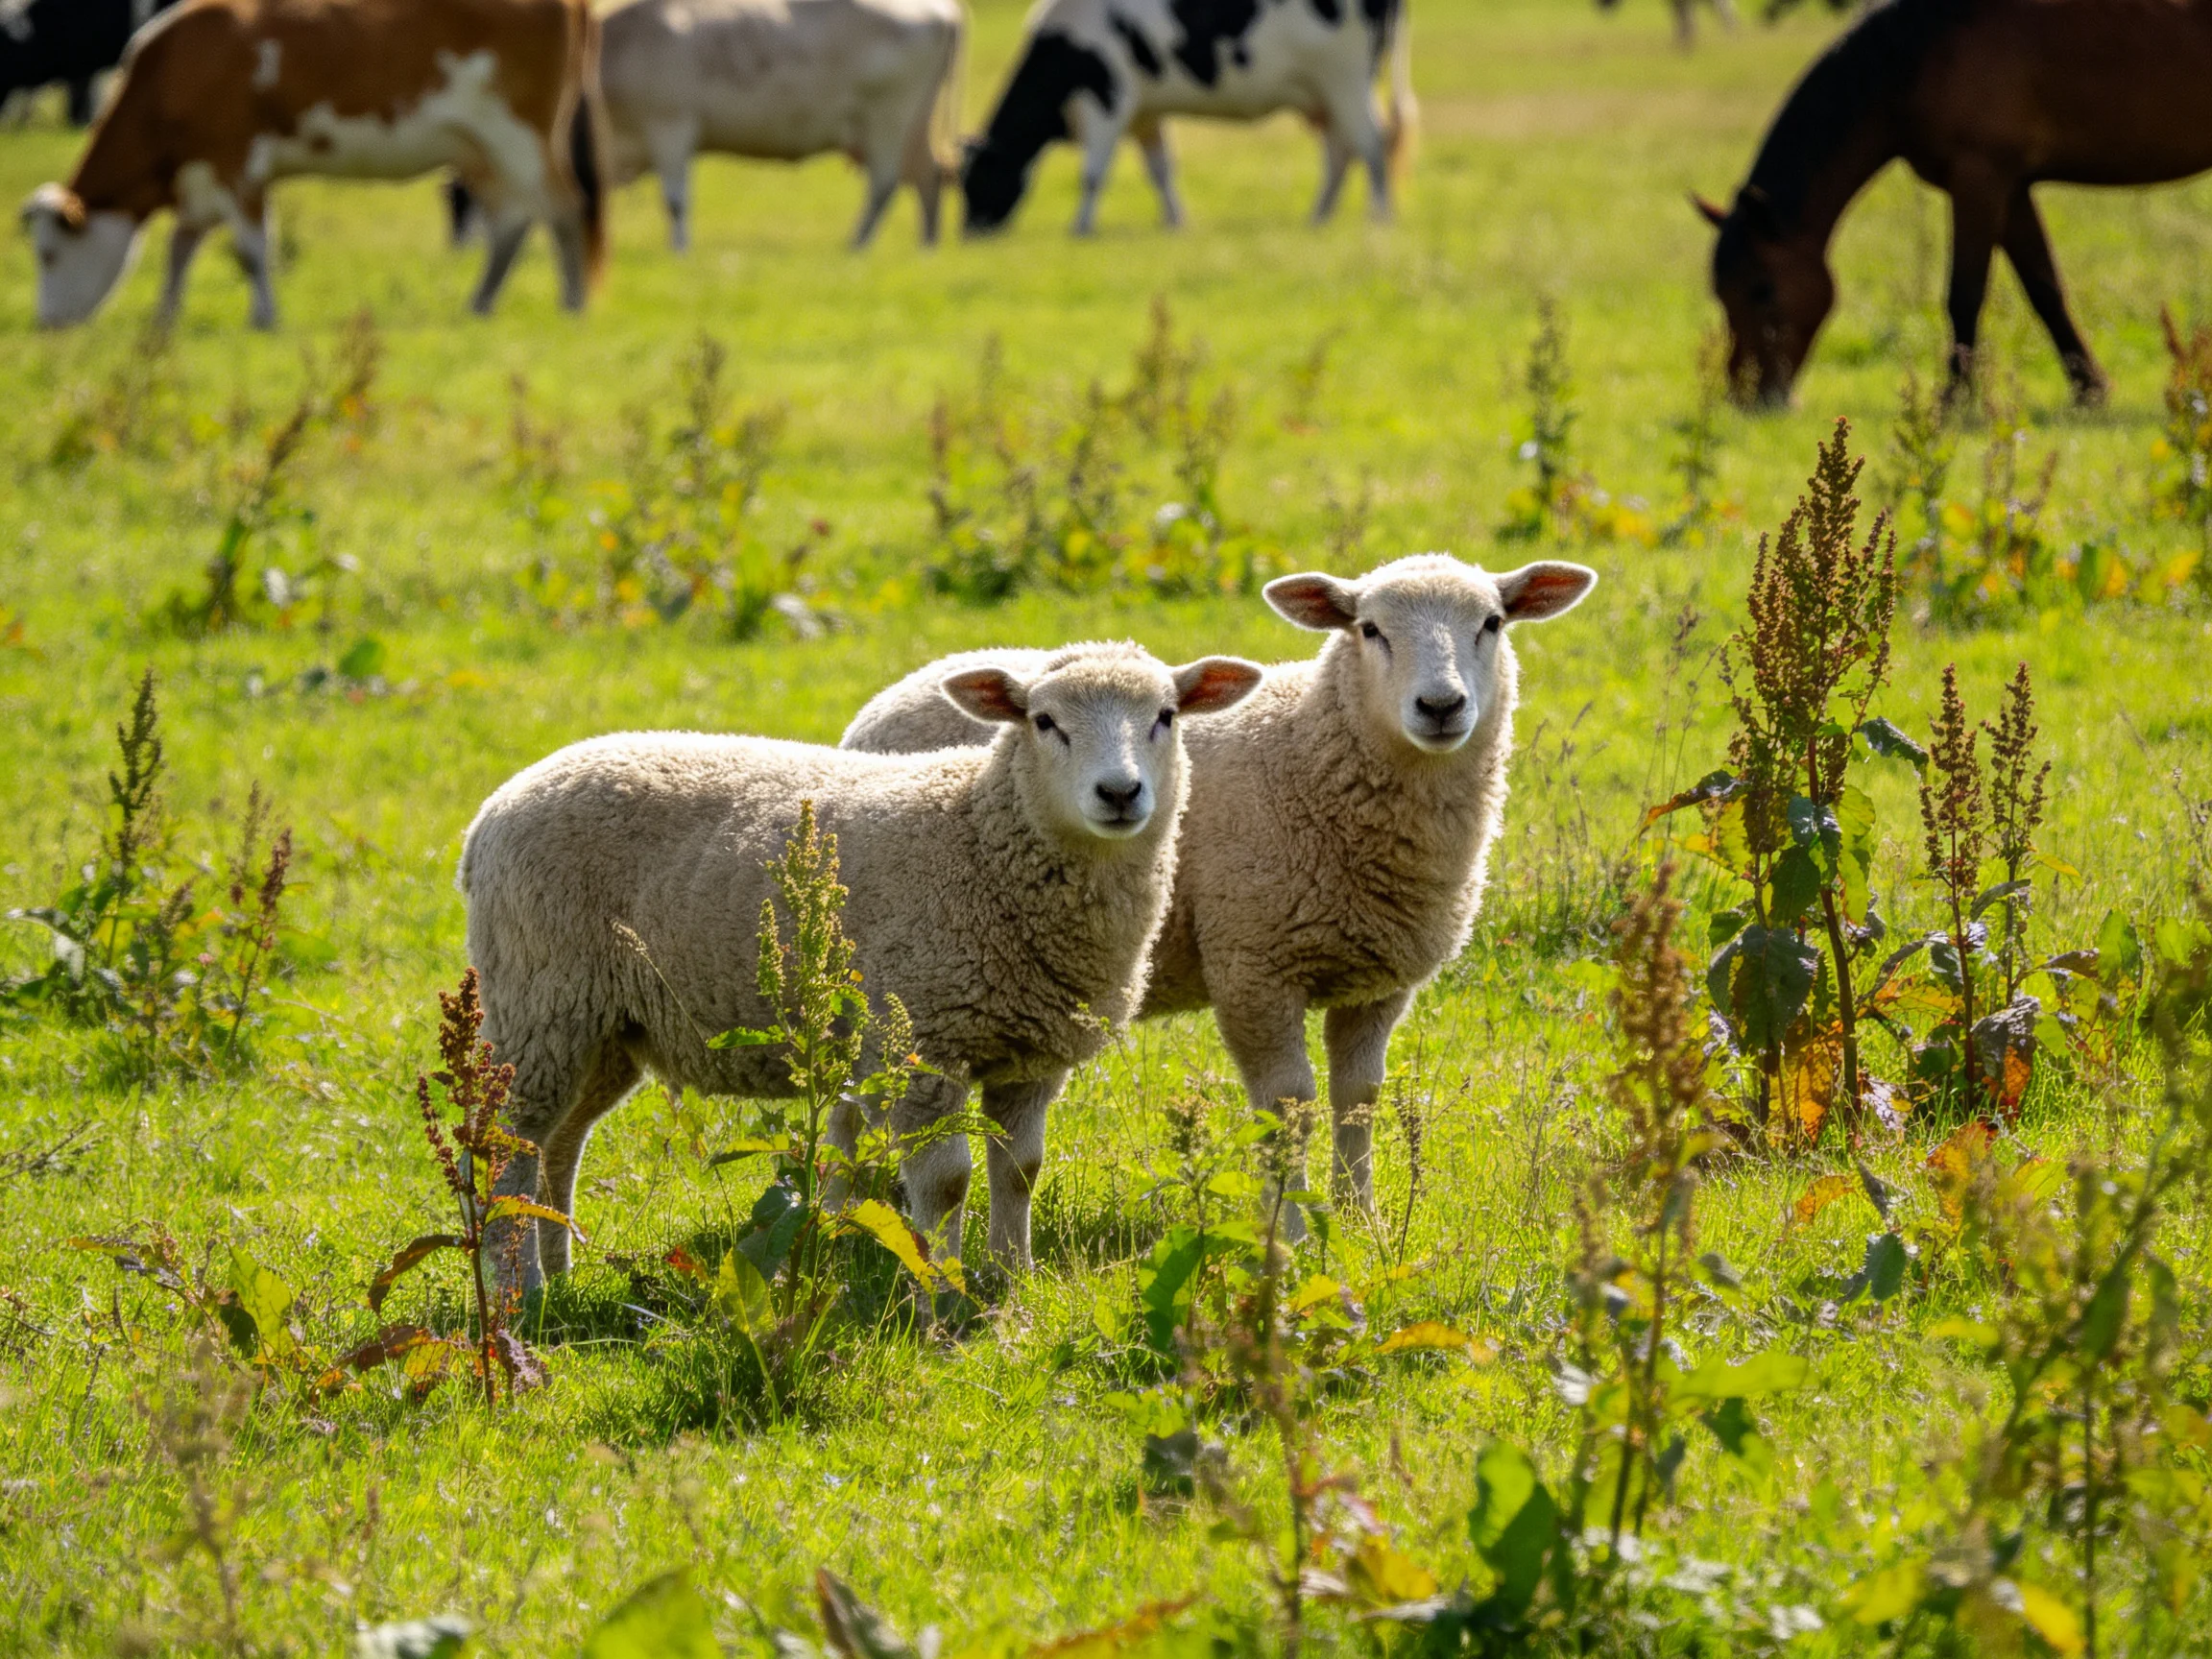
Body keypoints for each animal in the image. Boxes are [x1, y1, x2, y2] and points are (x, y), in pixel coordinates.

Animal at [19, 0, 605, 331]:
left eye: (49, 255)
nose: (46, 324)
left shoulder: (237, 161)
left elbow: (250, 248)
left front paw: (264, 318)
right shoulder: (201, 177)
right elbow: (181, 248)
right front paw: (164, 319)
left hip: (518, 134)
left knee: (563, 209)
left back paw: (573, 304)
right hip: (477, 149)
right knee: (510, 222)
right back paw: (480, 304)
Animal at [458, 642, 1263, 1294]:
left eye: (1166, 715)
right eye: (1043, 721)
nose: (1120, 793)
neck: (979, 837)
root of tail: (492, 811)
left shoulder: (1032, 1054)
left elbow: (1019, 1170)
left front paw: (1015, 1278)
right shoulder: (921, 1044)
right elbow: (946, 1183)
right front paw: (944, 1291)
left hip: (600, 1025)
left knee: (557, 1144)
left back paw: (557, 1270)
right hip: (540, 1001)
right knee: (506, 1147)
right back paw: (520, 1291)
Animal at [842, 554, 1597, 1234]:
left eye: (1492, 623)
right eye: (1370, 629)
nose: (1441, 707)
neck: (1309, 756)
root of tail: (886, 699)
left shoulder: (1378, 981)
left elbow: (1359, 1097)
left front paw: (1363, 1222)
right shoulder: (1253, 967)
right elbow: (1288, 1104)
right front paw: (1291, 1230)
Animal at [960, 0, 1414, 236]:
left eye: (979, 179)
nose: (969, 233)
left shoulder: (1108, 101)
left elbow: (1092, 174)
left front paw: (1081, 227)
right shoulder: (1145, 114)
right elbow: (1160, 170)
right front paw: (1174, 221)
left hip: (1346, 78)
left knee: (1373, 143)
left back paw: (1380, 216)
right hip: (1323, 95)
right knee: (1341, 152)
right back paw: (1319, 217)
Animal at [1697, 0, 2212, 407]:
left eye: (1762, 289)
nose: (1748, 396)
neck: (1920, 52)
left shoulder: (1979, 178)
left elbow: (1964, 293)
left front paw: (1956, 399)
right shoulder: (2011, 187)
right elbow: (2044, 288)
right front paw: (2088, 390)